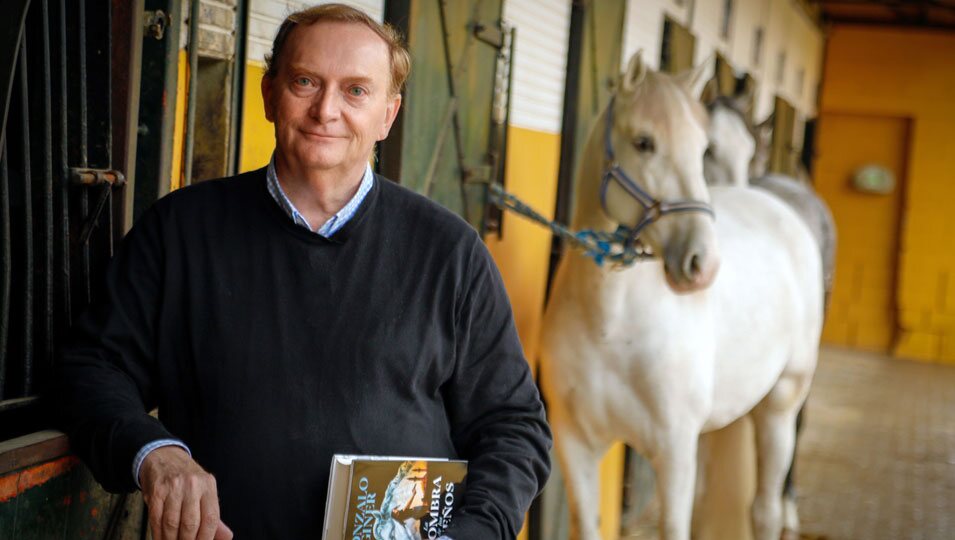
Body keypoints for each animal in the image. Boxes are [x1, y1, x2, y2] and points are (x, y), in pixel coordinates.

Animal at [540, 51, 824, 540]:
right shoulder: (576, 443)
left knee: (765, 508)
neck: (609, 324)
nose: (701, 263)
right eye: (643, 142)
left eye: (699, 149)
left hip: (781, 405)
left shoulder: (673, 451)